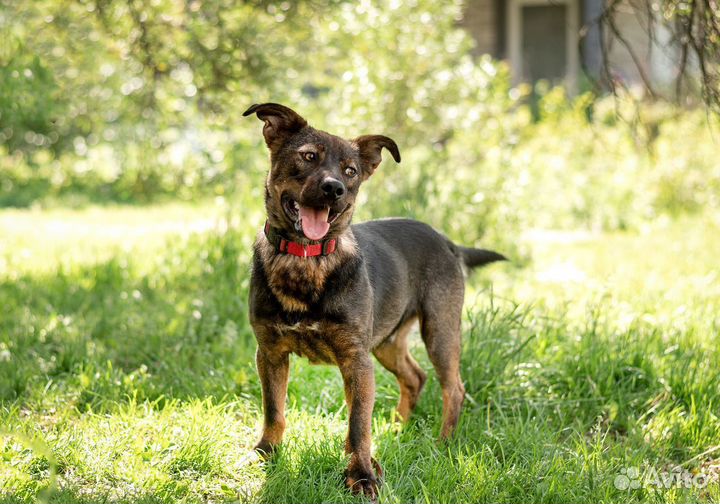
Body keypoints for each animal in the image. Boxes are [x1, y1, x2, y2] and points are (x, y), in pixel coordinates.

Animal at [245, 103, 504, 500]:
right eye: (308, 156)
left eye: (350, 171)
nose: (334, 188)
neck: (308, 260)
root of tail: (447, 240)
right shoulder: (271, 353)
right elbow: (274, 410)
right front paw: (267, 454)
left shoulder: (356, 360)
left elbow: (357, 424)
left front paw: (362, 475)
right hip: (387, 342)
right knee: (415, 377)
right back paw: (397, 431)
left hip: (439, 330)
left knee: (454, 388)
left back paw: (443, 443)